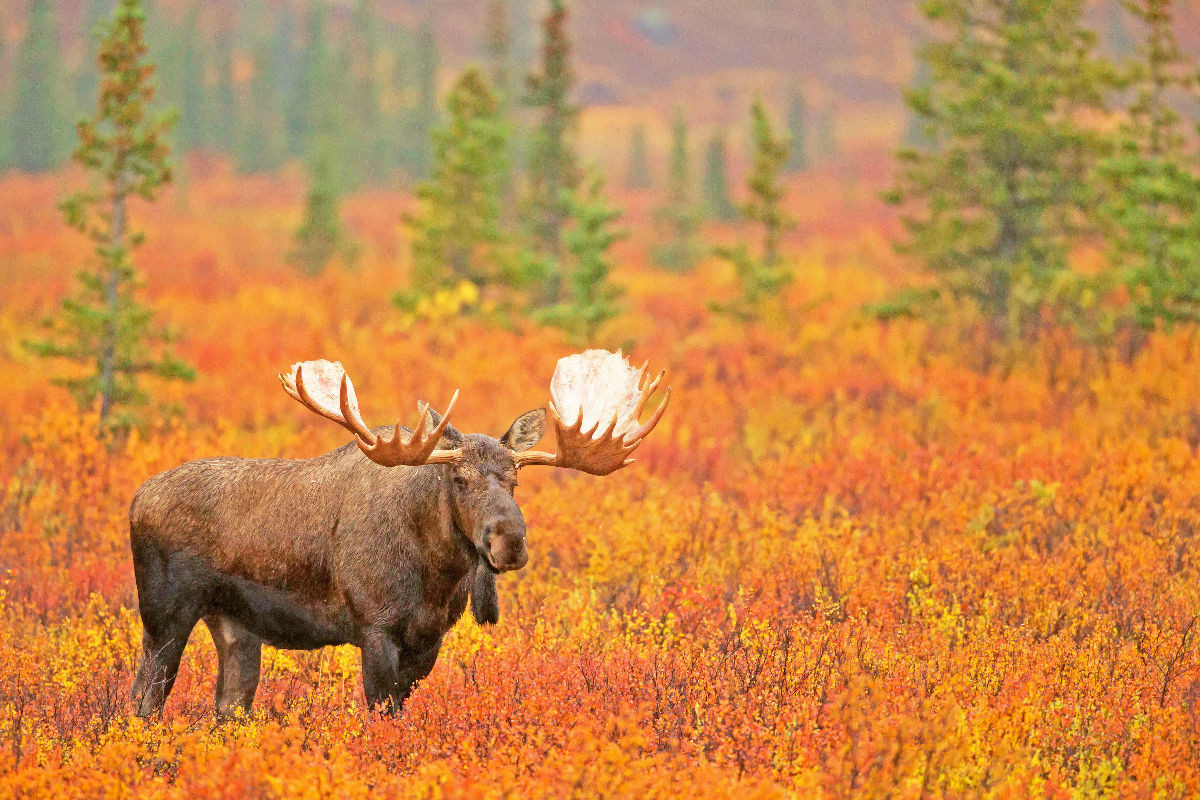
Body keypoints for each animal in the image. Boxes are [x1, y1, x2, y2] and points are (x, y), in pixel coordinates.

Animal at [127, 352, 672, 714]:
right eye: (458, 478)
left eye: (516, 479)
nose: (509, 542)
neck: (437, 574)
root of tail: (134, 502)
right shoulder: (376, 628)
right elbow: (380, 714)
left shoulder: (427, 642)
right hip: (165, 616)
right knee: (142, 699)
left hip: (235, 626)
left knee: (228, 706)